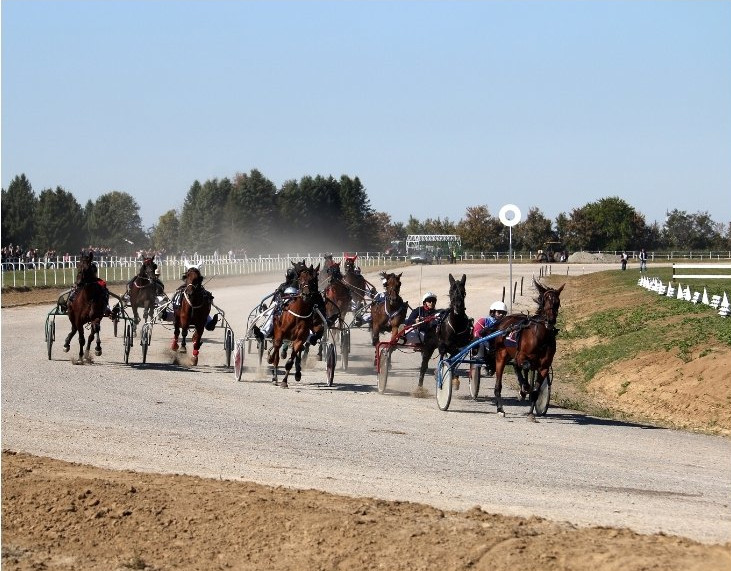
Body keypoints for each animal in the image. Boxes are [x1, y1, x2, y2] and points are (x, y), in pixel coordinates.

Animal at [492, 280, 568, 418]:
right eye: (544, 300)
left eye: (557, 302)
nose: (550, 320)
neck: (541, 337)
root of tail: (504, 321)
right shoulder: (522, 356)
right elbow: (524, 367)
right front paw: (523, 390)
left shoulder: (544, 366)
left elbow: (536, 390)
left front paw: (531, 412)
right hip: (501, 355)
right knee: (499, 384)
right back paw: (500, 408)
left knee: (518, 367)